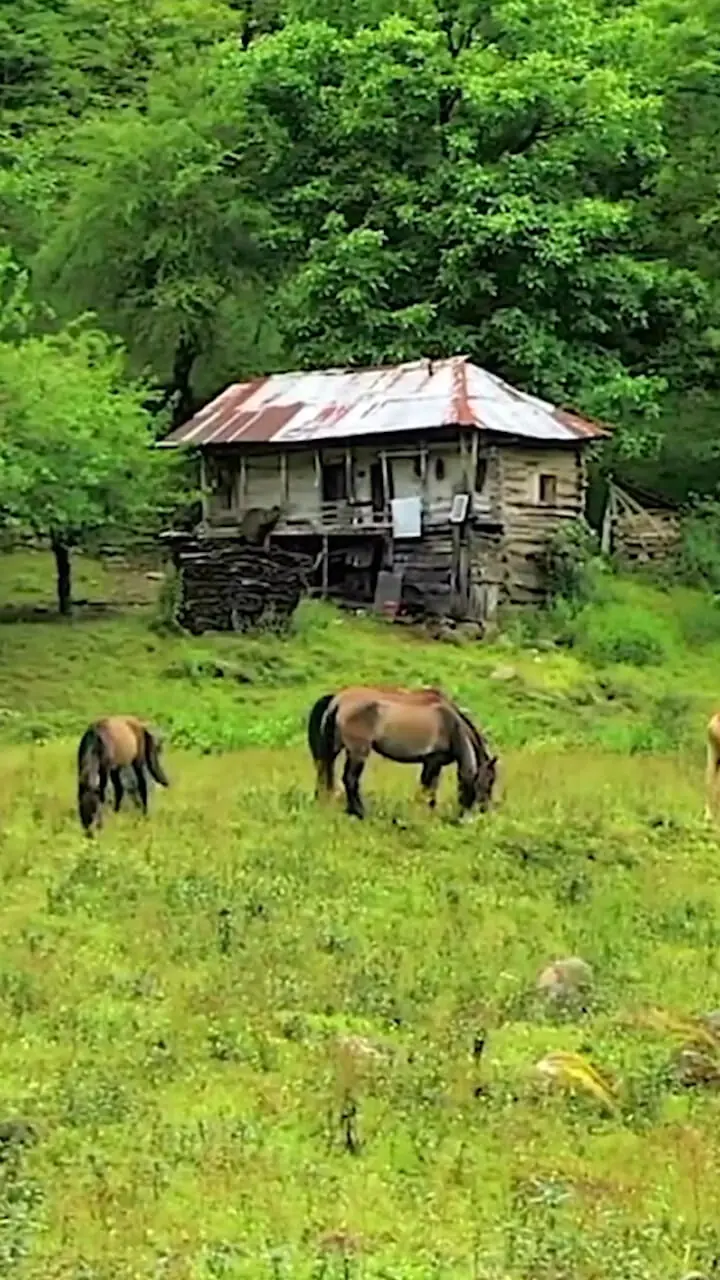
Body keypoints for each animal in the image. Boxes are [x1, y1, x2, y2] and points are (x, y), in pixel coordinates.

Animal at [304, 691, 497, 819]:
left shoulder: (432, 763)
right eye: (488, 781)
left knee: (324, 772)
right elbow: (428, 788)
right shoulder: (433, 761)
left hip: (335, 748)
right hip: (358, 751)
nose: (484, 810)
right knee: (349, 779)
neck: (451, 725)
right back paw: (359, 813)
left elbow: (429, 788)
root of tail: (338, 699)